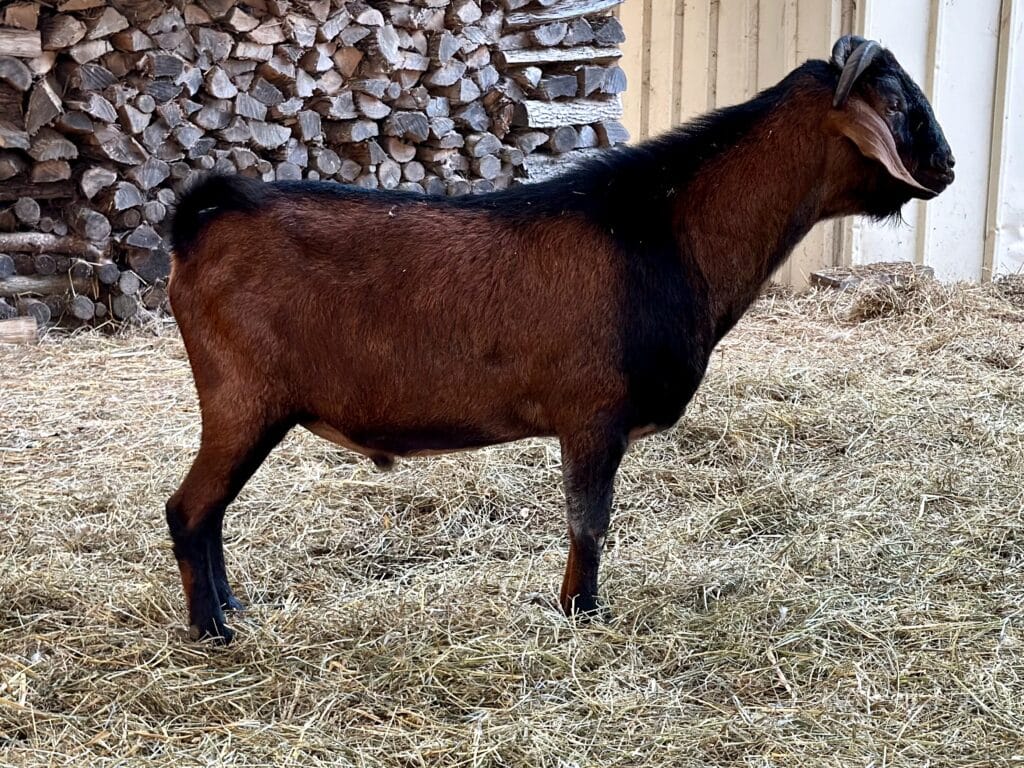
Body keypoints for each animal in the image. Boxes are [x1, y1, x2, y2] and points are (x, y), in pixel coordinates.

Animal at [165, 36, 953, 642]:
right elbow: (590, 525)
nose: (945, 167)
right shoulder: (593, 417)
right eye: (898, 106)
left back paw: (235, 607)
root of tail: (204, 220)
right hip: (243, 403)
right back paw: (215, 631)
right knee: (189, 510)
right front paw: (582, 613)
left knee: (210, 514)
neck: (662, 232)